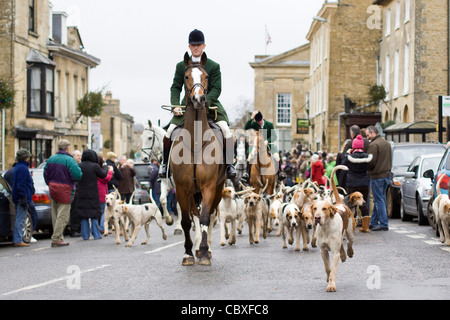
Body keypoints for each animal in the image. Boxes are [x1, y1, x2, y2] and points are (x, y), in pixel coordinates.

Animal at [170, 52, 227, 266]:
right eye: (186, 76)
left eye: (207, 76)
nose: (199, 98)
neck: (195, 142)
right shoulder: (181, 188)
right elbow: (187, 221)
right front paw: (188, 253)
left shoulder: (209, 186)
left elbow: (204, 218)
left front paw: (203, 252)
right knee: (194, 215)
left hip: (218, 188)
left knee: (208, 215)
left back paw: (206, 248)